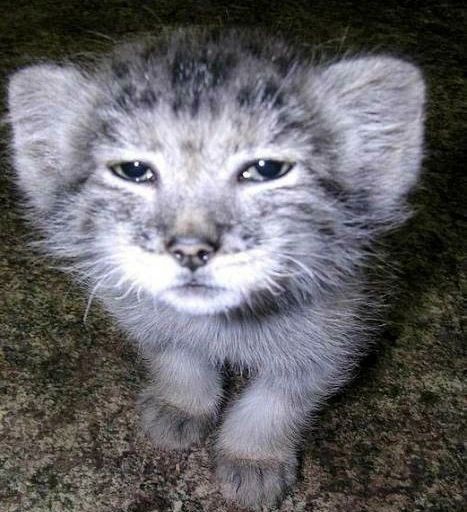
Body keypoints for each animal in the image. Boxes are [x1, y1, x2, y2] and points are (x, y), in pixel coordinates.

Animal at [7, 30, 426, 510]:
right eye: (133, 170)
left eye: (266, 169)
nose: (190, 249)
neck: (225, 326)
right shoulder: (144, 316)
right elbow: (178, 356)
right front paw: (182, 404)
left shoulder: (335, 334)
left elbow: (278, 400)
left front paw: (253, 457)